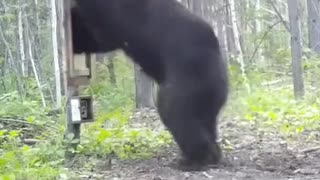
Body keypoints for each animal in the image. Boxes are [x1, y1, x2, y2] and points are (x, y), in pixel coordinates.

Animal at [71, 0, 229, 170]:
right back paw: (210, 155)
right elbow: (92, 37)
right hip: (207, 95)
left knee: (176, 113)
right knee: (204, 120)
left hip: (188, 78)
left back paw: (195, 159)